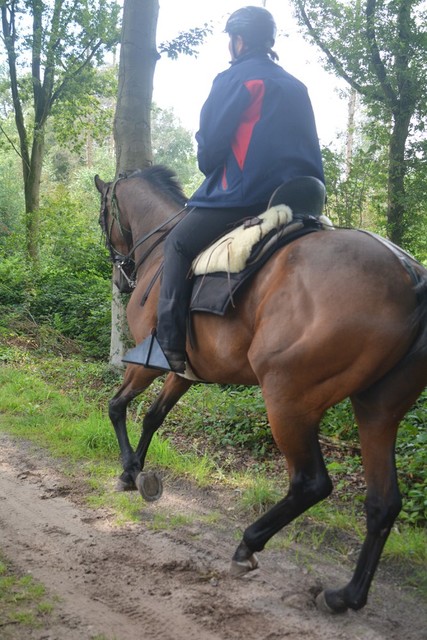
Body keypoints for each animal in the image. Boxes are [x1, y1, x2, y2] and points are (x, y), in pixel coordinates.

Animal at [96, 166, 427, 616]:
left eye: (102, 217)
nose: (121, 277)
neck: (163, 249)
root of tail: (410, 275)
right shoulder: (182, 371)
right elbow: (153, 416)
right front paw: (137, 472)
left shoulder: (145, 362)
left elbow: (117, 406)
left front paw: (129, 471)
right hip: (378, 410)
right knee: (383, 502)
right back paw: (346, 595)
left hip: (287, 399)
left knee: (311, 483)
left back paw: (247, 546)